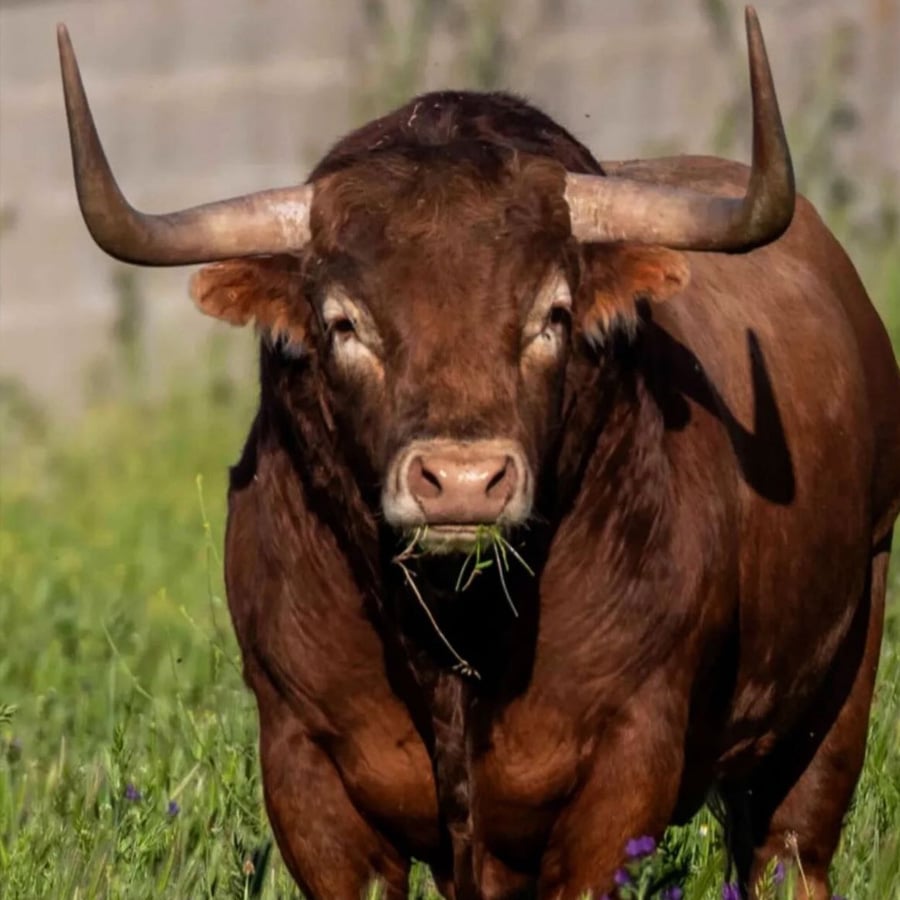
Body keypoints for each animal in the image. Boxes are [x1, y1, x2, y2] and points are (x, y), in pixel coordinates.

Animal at [58, 8, 900, 899]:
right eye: (344, 321)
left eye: (553, 315)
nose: (462, 482)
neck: (457, 641)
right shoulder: (303, 767)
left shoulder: (625, 766)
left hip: (839, 684)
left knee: (791, 846)